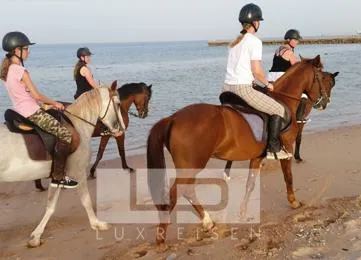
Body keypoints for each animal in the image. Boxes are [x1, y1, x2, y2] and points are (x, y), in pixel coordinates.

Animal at [0, 82, 122, 247]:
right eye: (118, 104)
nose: (120, 130)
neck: (78, 125)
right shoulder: (79, 172)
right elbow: (86, 201)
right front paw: (96, 224)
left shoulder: (57, 177)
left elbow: (50, 207)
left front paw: (36, 236)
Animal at [146, 54, 334, 244]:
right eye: (323, 78)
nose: (325, 102)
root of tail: (172, 118)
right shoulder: (287, 148)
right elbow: (288, 177)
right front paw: (294, 202)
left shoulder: (256, 157)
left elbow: (250, 184)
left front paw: (243, 212)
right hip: (192, 165)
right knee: (178, 192)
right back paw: (163, 235)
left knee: (187, 190)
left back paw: (207, 222)